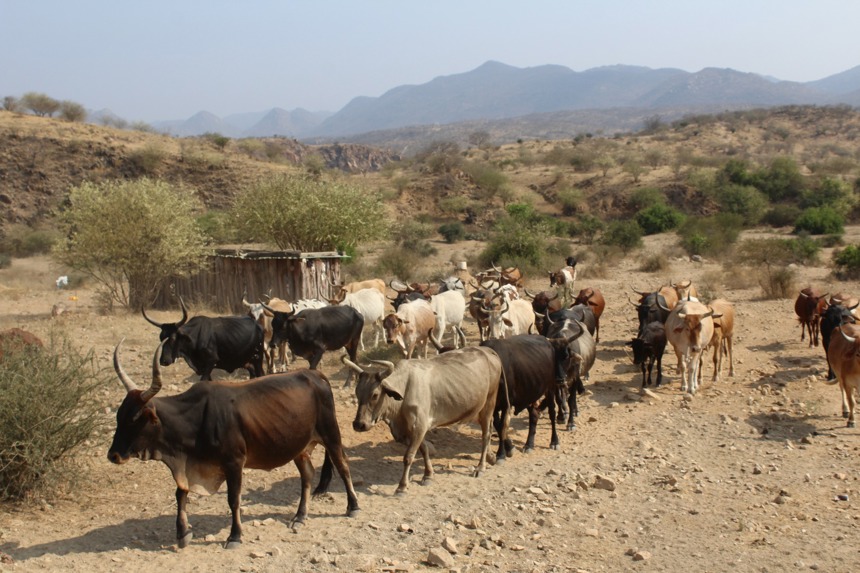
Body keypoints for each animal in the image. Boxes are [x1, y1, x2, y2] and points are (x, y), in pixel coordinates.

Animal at [107, 340, 360, 549]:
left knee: (343, 465)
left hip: (330, 434)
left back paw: (353, 506)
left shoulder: (234, 462)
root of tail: (314, 374)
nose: (113, 455)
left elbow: (233, 499)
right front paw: (182, 533)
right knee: (307, 475)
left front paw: (235, 536)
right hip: (299, 447)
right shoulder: (188, 466)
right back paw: (299, 516)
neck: (195, 418)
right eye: (119, 416)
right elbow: (181, 493)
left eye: (135, 419)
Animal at [344, 345, 503, 494]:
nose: (359, 424)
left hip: (489, 404)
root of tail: (487, 350)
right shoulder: (411, 430)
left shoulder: (419, 426)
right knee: (489, 431)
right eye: (357, 392)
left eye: (375, 395)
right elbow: (424, 449)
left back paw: (480, 467)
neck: (405, 388)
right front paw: (428, 475)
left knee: (486, 435)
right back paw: (491, 457)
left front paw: (402, 486)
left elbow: (408, 456)